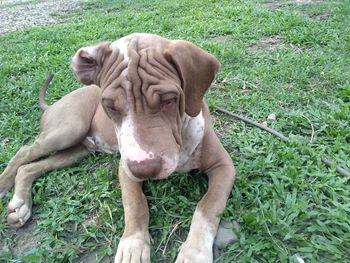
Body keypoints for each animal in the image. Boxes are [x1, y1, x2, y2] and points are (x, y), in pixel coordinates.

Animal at [0, 34, 237, 262]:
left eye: (169, 100)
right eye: (109, 106)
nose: (144, 169)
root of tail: (55, 103)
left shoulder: (223, 167)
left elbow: (207, 207)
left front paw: (194, 252)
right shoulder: (126, 168)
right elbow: (135, 204)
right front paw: (133, 245)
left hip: (76, 151)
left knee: (30, 167)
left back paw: (20, 205)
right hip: (68, 129)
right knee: (24, 152)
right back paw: (7, 187)